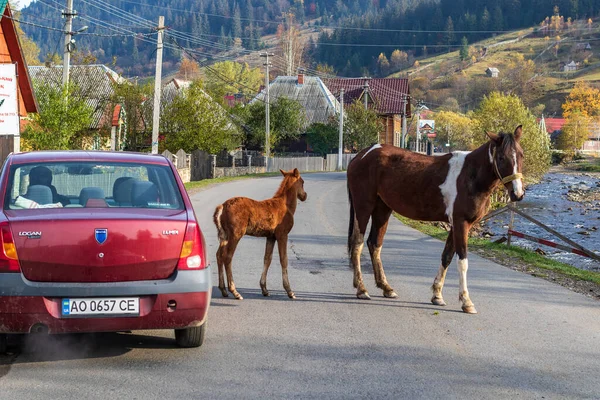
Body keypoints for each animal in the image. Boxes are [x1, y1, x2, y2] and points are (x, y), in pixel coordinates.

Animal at [346, 125, 524, 312]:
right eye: (501, 157)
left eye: (521, 155)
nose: (518, 193)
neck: (471, 176)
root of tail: (361, 155)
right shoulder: (461, 223)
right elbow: (462, 261)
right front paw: (466, 301)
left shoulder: (456, 225)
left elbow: (447, 256)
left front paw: (437, 295)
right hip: (363, 207)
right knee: (357, 243)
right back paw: (362, 289)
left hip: (382, 208)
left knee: (374, 244)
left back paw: (386, 288)